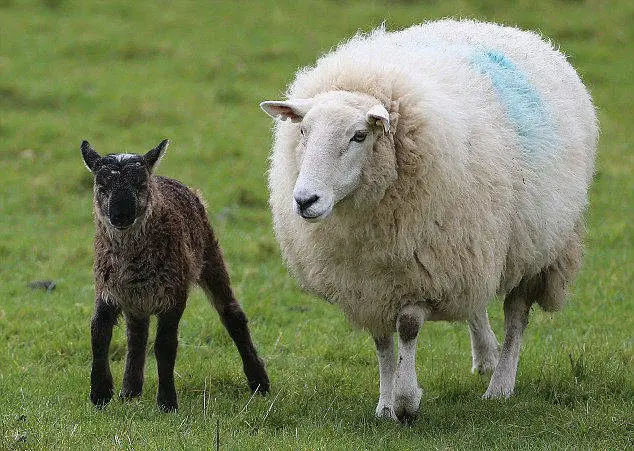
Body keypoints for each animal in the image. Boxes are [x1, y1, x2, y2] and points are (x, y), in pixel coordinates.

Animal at [80, 141, 268, 414]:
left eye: (141, 185)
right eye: (101, 186)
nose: (121, 215)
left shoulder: (174, 293)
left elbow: (165, 344)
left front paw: (167, 402)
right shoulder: (108, 290)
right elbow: (98, 334)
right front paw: (100, 393)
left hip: (209, 255)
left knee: (233, 315)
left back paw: (259, 381)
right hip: (137, 299)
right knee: (137, 335)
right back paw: (130, 391)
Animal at [260, 20, 596, 424]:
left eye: (359, 135)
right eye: (303, 131)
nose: (305, 200)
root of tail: (507, 29)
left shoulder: (422, 272)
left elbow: (407, 328)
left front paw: (406, 401)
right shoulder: (370, 282)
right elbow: (382, 342)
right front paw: (385, 404)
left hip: (537, 244)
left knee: (516, 314)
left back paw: (500, 384)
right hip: (474, 245)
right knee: (477, 303)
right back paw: (486, 356)